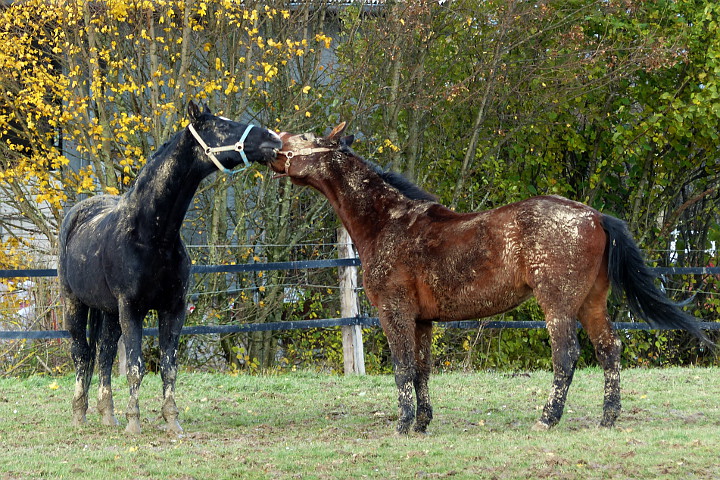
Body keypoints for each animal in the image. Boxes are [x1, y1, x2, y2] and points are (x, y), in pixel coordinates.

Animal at [57, 102, 282, 436]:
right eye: (221, 126)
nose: (274, 139)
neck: (152, 236)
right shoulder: (131, 309)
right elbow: (135, 368)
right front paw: (134, 423)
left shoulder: (173, 308)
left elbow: (169, 367)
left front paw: (172, 420)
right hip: (74, 303)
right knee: (82, 354)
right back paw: (78, 415)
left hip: (108, 311)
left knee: (105, 353)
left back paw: (108, 415)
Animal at [262, 122, 708, 434]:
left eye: (304, 136)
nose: (271, 148)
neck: (388, 223)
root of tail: (595, 216)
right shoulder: (423, 320)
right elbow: (422, 370)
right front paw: (422, 423)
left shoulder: (395, 312)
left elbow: (403, 368)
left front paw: (403, 425)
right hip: (590, 303)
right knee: (609, 350)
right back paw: (608, 418)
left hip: (559, 305)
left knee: (566, 356)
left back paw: (547, 418)